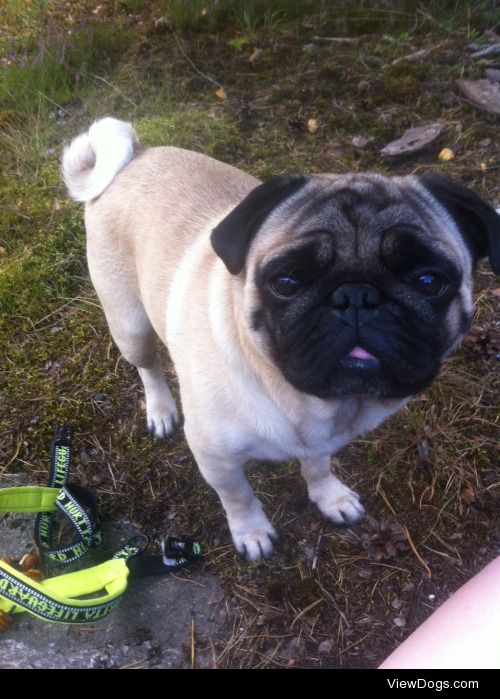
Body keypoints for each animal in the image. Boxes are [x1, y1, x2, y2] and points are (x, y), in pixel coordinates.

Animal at [63, 116, 500, 564]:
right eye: (286, 282)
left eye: (429, 281)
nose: (357, 296)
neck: (305, 401)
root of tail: (135, 158)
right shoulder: (216, 459)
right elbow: (238, 497)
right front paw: (252, 533)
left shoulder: (321, 441)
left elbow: (318, 467)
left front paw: (329, 497)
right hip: (130, 323)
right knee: (148, 366)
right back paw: (162, 409)